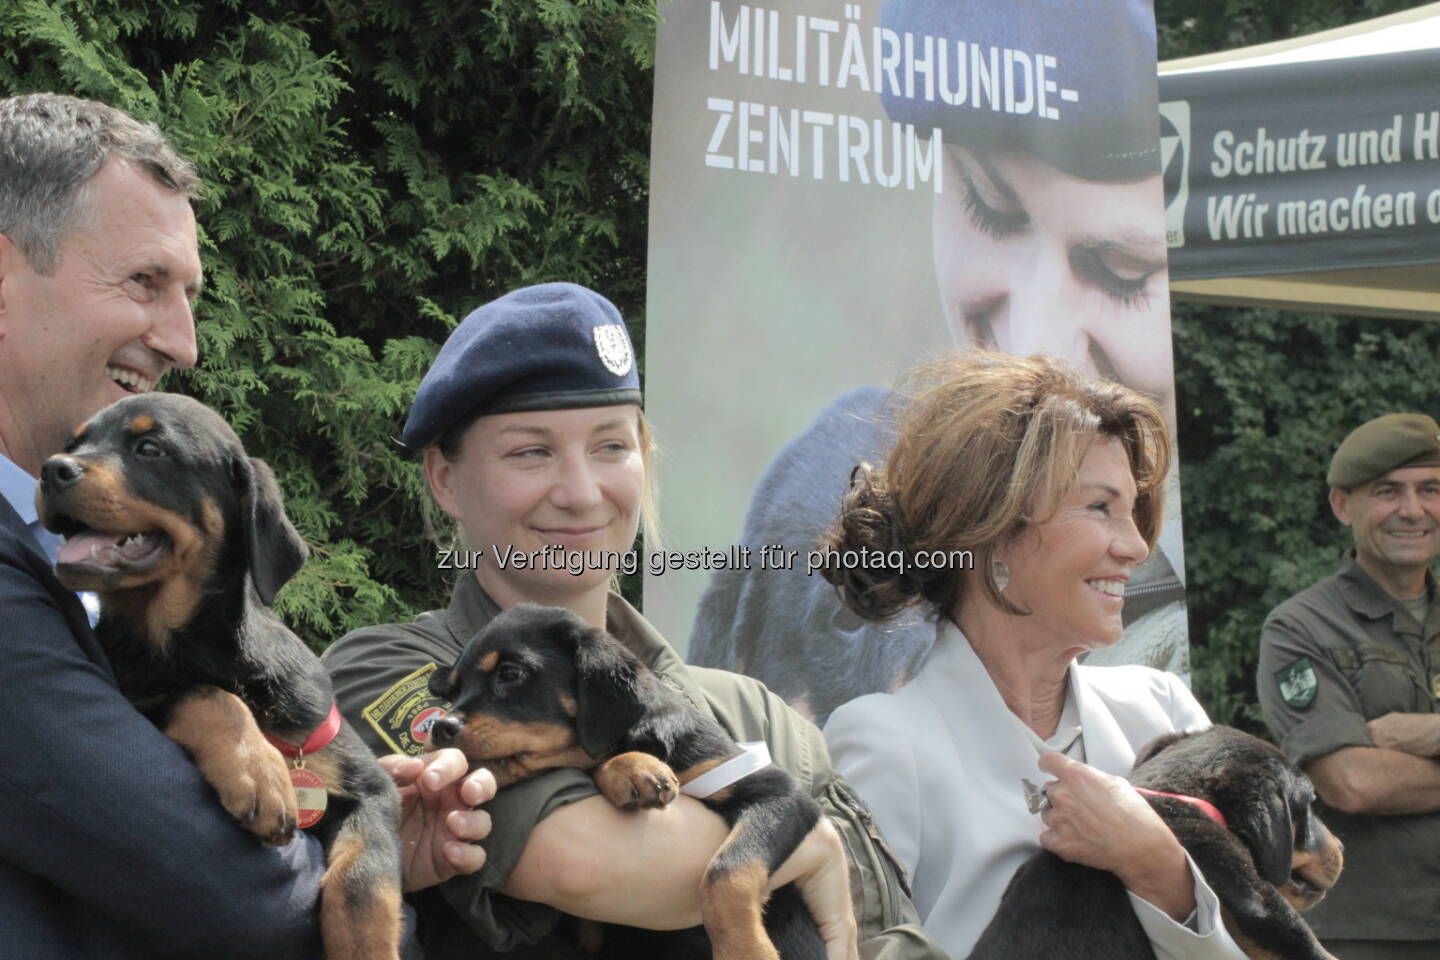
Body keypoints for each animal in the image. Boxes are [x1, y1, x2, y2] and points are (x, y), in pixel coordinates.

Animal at [36, 391, 406, 960]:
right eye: (72, 444)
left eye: (150, 448)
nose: (53, 469)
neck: (195, 644)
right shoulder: (142, 696)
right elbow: (203, 694)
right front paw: (257, 769)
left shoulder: (370, 786)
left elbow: (366, 877)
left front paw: (366, 949)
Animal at [426, 604, 829, 960]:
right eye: (452, 691)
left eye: (510, 673)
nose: (439, 728)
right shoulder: (588, 932)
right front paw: (633, 769)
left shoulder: (776, 791)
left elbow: (727, 871)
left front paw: (745, 952)